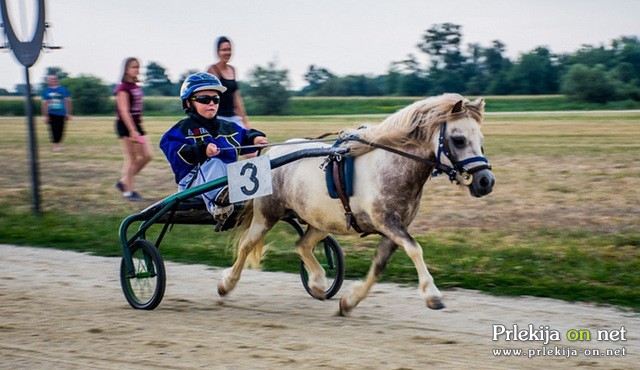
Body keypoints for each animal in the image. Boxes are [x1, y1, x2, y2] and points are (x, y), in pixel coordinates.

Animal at [218, 94, 492, 314]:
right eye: (458, 139)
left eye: (481, 138)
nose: (486, 181)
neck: (390, 165)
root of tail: (273, 154)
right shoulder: (387, 222)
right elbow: (415, 249)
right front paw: (432, 294)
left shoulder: (393, 229)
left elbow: (380, 265)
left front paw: (350, 301)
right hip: (267, 214)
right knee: (247, 245)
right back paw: (226, 284)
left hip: (322, 220)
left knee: (301, 245)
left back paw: (318, 282)